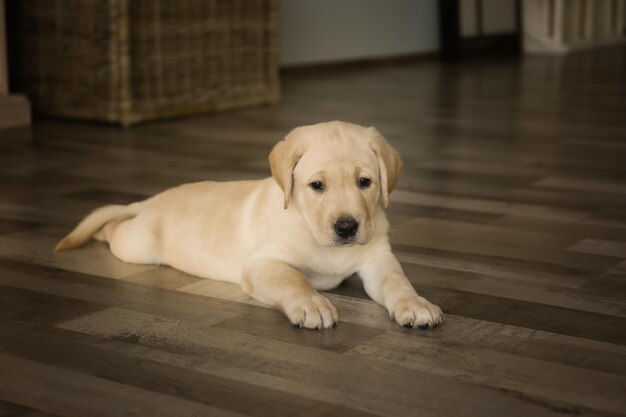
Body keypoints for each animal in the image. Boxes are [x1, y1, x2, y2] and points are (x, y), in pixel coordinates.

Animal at [54, 120, 444, 328]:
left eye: (365, 182)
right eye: (317, 186)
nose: (347, 227)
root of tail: (149, 202)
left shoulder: (378, 259)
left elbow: (397, 281)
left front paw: (415, 304)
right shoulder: (262, 263)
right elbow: (293, 279)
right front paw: (313, 304)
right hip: (137, 245)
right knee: (112, 228)